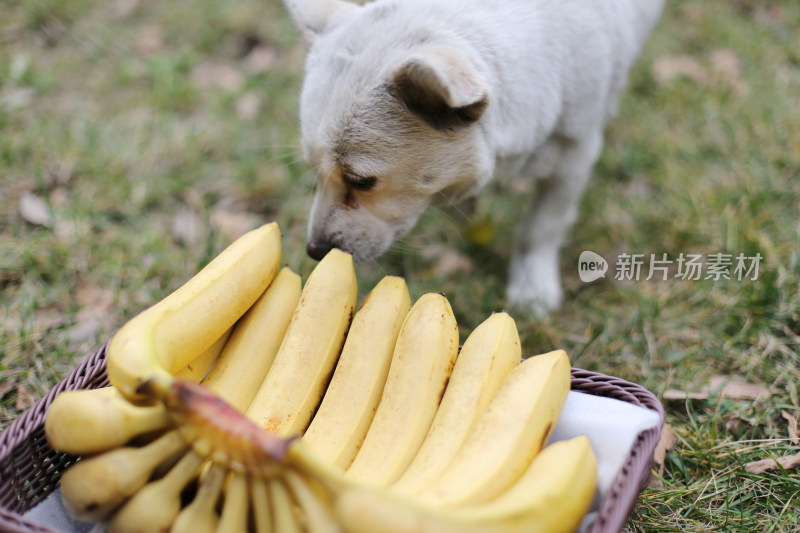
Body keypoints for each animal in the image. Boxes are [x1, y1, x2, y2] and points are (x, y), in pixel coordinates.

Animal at [288, 0, 664, 314]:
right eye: (313, 171)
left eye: (361, 181)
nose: (315, 251)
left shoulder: (577, 152)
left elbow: (542, 225)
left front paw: (532, 286)